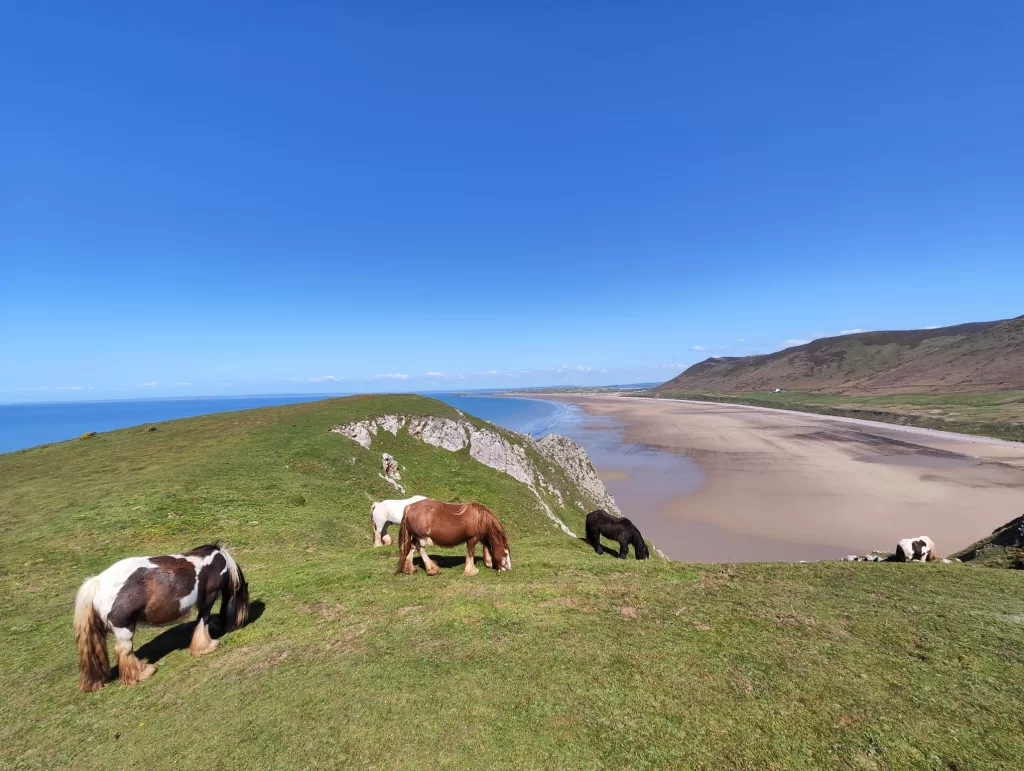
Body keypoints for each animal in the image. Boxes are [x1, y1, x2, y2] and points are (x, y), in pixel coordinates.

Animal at [73, 543, 250, 692]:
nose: (236, 625)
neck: (217, 561)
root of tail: (97, 583)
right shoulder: (209, 596)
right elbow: (203, 620)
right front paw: (206, 647)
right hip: (125, 627)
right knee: (124, 651)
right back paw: (143, 673)